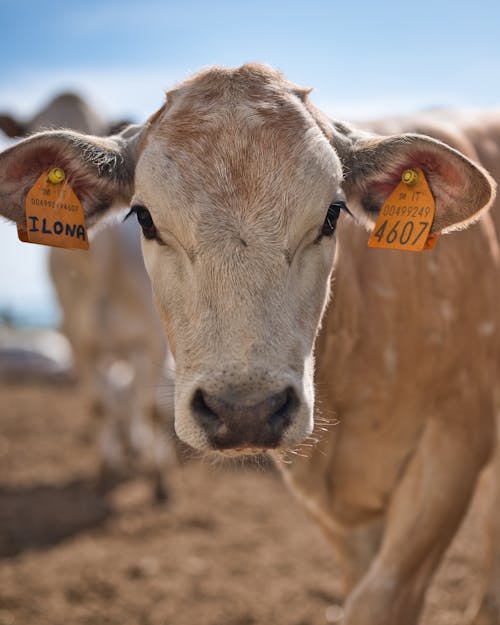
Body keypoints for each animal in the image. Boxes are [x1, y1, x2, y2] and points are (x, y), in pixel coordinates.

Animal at [0, 94, 176, 502]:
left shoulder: (153, 339)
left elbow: (150, 406)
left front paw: (159, 480)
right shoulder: (79, 340)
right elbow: (99, 405)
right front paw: (106, 471)